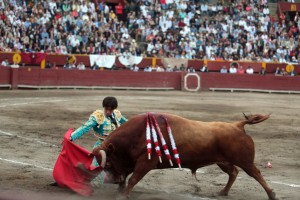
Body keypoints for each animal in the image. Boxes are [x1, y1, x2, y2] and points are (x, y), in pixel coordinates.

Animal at [92, 113, 276, 199]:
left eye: (107, 164)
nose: (112, 180)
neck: (137, 133)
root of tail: (237, 125)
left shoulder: (146, 161)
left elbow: (133, 178)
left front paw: (123, 195)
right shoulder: (133, 162)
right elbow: (127, 177)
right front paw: (120, 191)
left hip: (244, 161)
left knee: (256, 173)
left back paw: (271, 194)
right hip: (223, 161)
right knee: (234, 172)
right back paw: (222, 192)